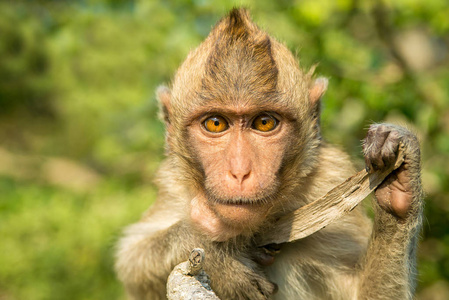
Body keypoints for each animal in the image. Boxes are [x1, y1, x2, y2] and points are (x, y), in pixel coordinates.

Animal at [114, 7, 422, 300]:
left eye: (264, 122)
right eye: (215, 123)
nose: (239, 171)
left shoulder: (330, 177)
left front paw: (399, 189)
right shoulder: (173, 186)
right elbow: (131, 261)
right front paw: (217, 255)